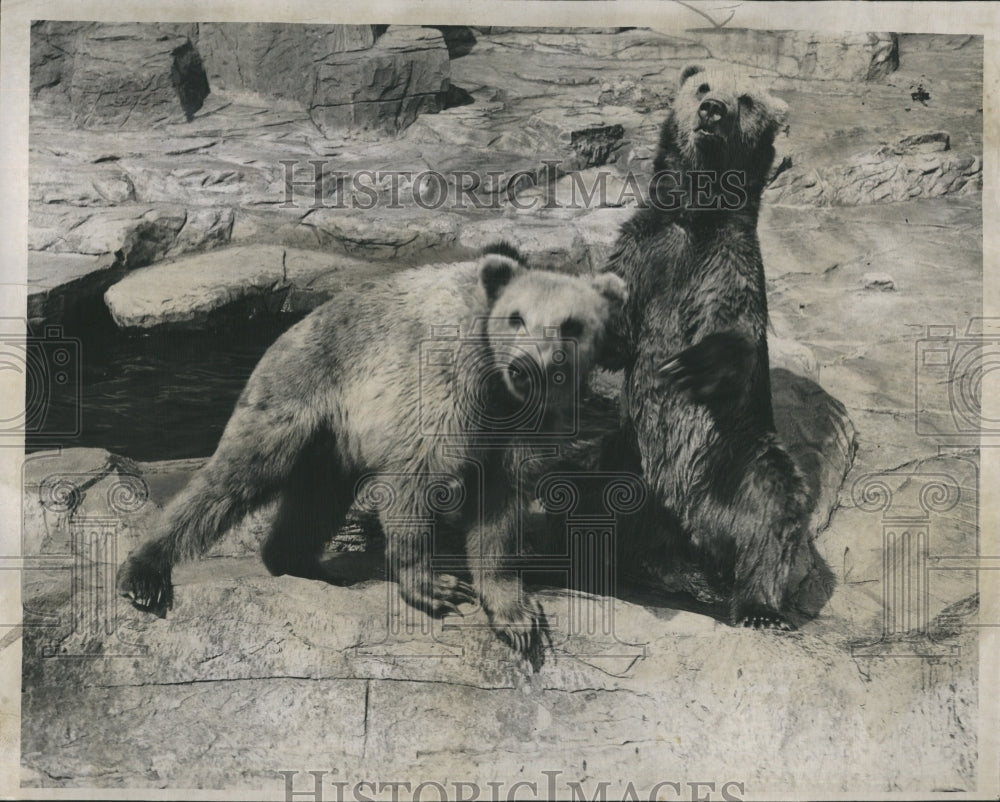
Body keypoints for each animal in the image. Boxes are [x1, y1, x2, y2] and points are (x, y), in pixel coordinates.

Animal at [119, 241, 624, 664]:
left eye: (572, 325)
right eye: (516, 317)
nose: (525, 366)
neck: (496, 387)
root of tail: (292, 327)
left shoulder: (522, 426)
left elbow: (500, 509)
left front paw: (515, 616)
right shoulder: (441, 382)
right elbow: (418, 476)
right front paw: (436, 587)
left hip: (332, 443)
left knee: (316, 501)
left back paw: (300, 564)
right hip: (300, 394)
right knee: (236, 476)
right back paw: (145, 573)